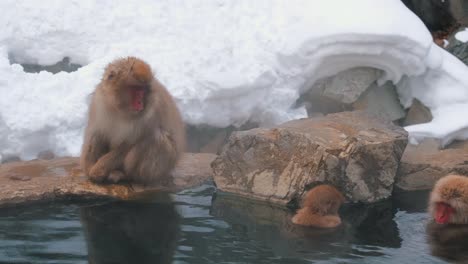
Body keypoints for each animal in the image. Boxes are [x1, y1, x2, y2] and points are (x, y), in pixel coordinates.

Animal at [80, 56, 185, 184]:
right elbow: (97, 134)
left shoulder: (150, 114)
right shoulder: (99, 103)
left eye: (143, 90)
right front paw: (89, 168)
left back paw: (126, 175)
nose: (140, 102)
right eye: (135, 89)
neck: (120, 111)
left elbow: (127, 145)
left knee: (156, 138)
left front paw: (98, 170)